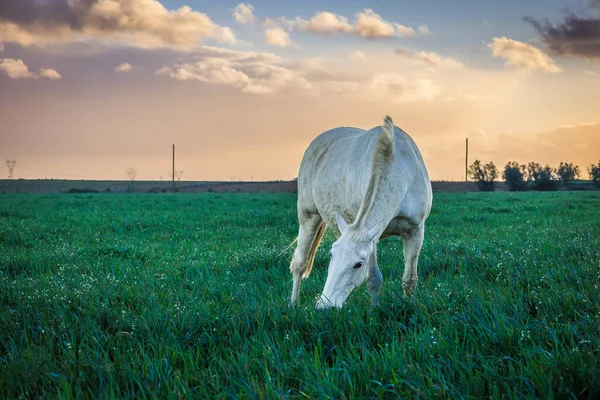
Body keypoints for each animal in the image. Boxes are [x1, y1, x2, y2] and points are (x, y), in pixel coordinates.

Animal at [290, 115, 432, 310]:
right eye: (331, 255)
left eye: (358, 264)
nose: (325, 306)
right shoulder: (372, 238)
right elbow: (373, 278)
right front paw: (374, 310)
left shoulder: (415, 231)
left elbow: (410, 279)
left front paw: (407, 305)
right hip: (308, 216)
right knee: (300, 263)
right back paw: (292, 304)